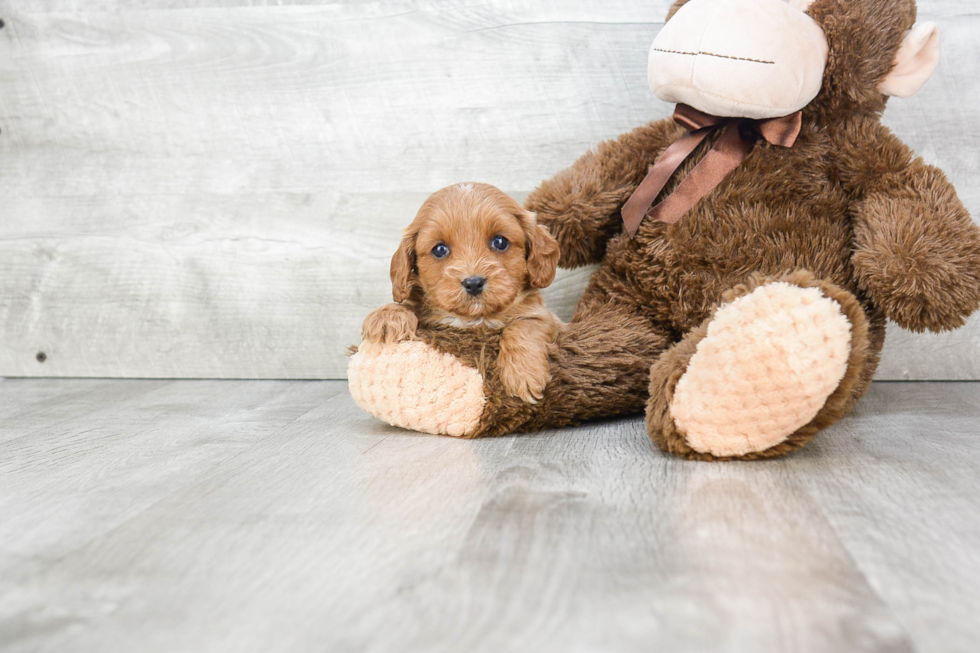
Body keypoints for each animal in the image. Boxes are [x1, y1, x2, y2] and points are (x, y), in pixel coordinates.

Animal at [362, 181, 564, 400]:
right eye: (439, 249)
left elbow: (523, 327)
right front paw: (388, 316)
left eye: (500, 242)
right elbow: (407, 304)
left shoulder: (546, 318)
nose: (473, 283)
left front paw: (523, 374)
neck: (476, 319)